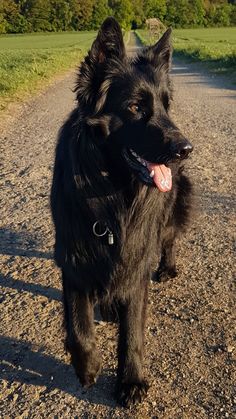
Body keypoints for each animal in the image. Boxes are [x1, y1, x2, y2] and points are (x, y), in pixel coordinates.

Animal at [50, 18, 193, 408]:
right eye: (134, 107)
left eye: (166, 106)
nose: (186, 149)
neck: (112, 192)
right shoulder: (74, 255)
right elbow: (78, 324)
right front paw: (87, 367)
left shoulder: (137, 256)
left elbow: (133, 331)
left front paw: (131, 380)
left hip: (173, 210)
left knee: (169, 239)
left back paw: (167, 267)